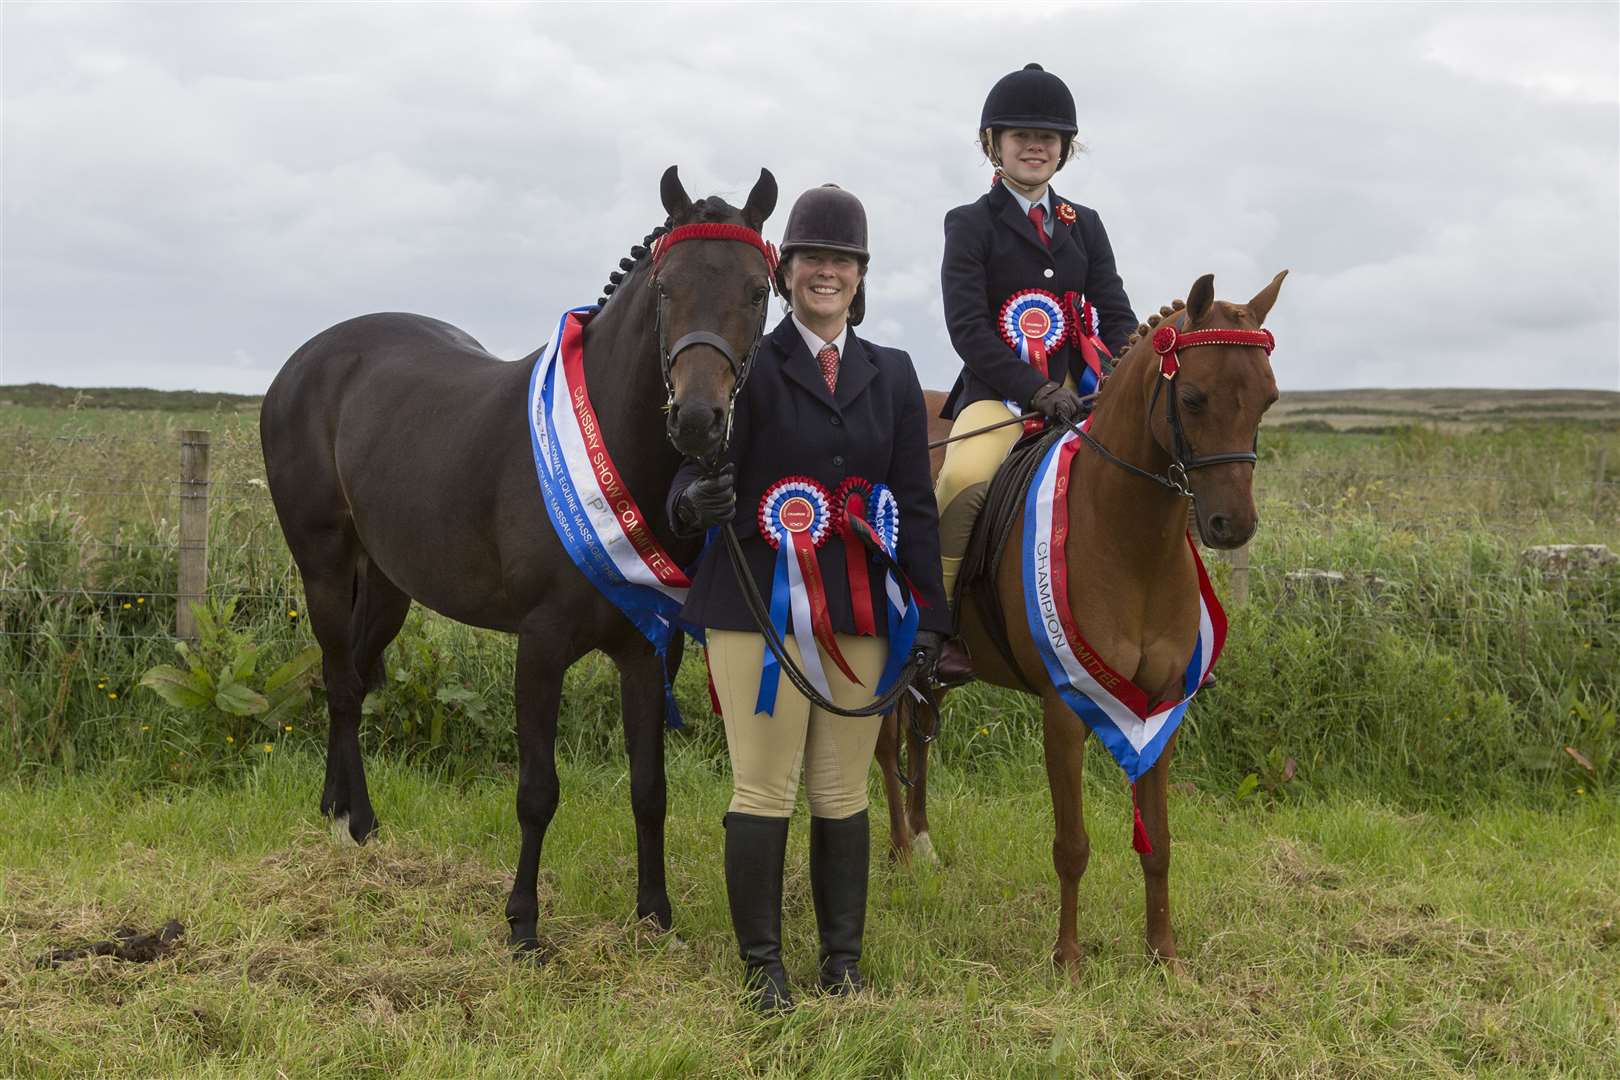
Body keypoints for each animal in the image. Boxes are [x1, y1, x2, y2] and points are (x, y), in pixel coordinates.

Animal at [259, 165, 777, 952]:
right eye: (665, 289)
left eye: (757, 291)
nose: (696, 420)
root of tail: (304, 362)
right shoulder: (539, 647)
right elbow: (537, 791)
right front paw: (523, 923)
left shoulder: (645, 650)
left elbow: (649, 788)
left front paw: (654, 914)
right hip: (322, 565)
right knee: (343, 684)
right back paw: (360, 821)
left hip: (387, 585)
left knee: (349, 676)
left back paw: (337, 809)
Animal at [881, 272, 1283, 977]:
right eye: (1195, 397)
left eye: (1267, 399)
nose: (1232, 526)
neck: (1130, 541)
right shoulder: (1063, 708)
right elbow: (1071, 843)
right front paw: (1067, 959)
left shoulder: (1160, 704)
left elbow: (1160, 843)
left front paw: (1163, 956)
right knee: (883, 745)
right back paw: (901, 850)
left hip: (930, 669)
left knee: (918, 734)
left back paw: (924, 846)